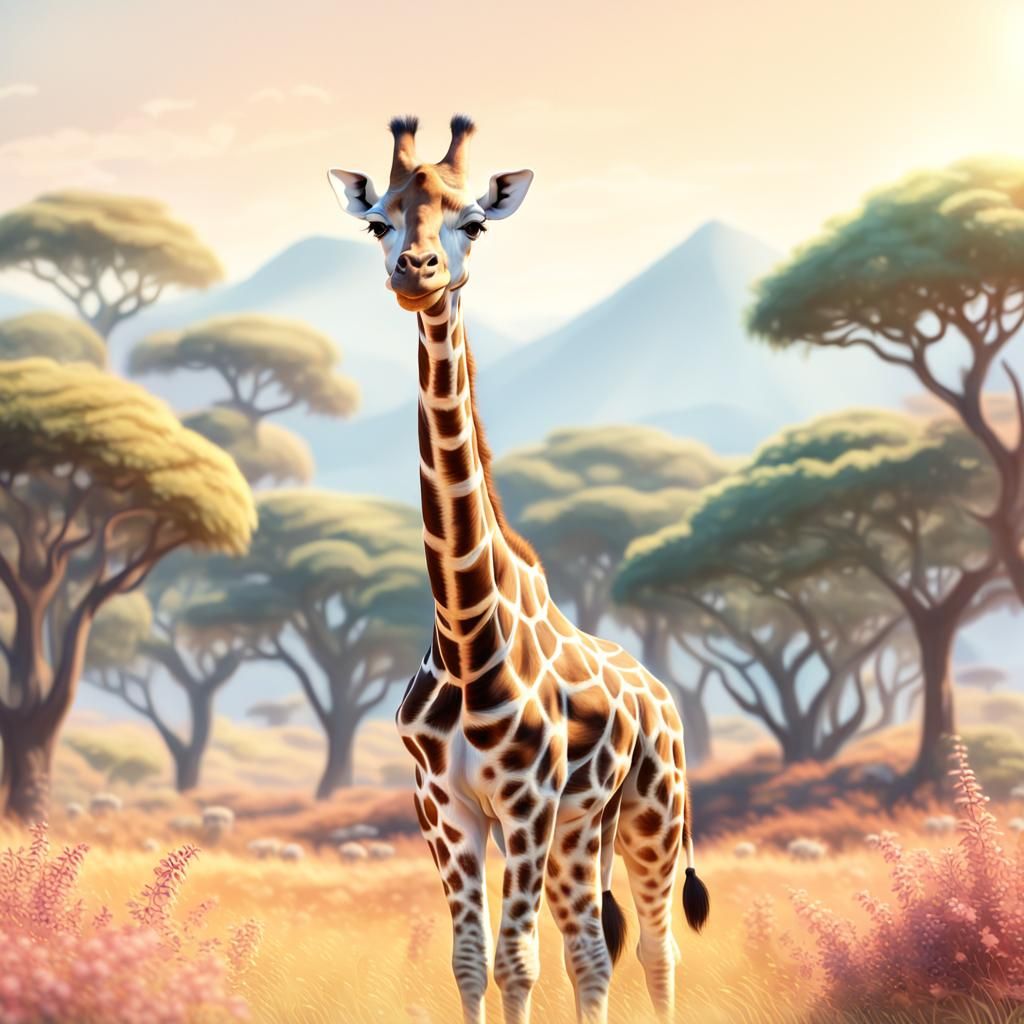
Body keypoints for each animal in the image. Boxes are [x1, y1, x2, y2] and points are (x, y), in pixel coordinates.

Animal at [328, 115, 709, 1024]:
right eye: (377, 221)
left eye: (474, 223)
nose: (417, 271)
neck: (468, 636)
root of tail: (662, 694)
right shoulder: (447, 810)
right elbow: (471, 960)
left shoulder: (527, 803)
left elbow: (516, 962)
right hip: (584, 831)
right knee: (593, 950)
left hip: (649, 813)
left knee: (653, 948)